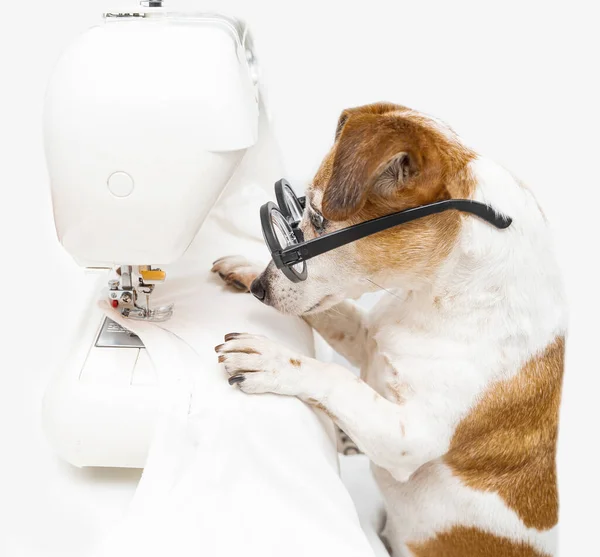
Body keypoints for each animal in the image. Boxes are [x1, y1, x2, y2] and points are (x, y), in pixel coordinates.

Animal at [212, 102, 568, 552]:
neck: (431, 297)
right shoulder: (368, 338)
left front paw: (272, 359)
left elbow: (338, 379)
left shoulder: (407, 437)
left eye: (316, 218)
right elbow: (337, 319)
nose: (259, 288)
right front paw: (242, 266)